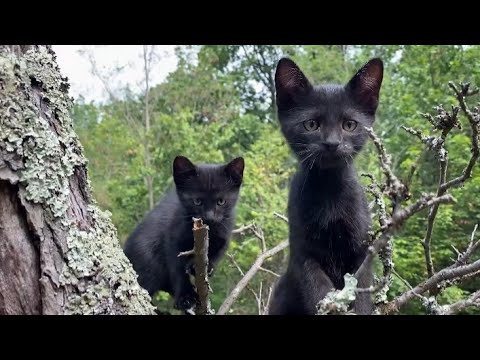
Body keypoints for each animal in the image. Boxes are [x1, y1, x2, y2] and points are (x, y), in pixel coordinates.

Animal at [124, 156, 244, 310]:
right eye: (197, 201)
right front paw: (186, 297)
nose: (209, 217)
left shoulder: (224, 237)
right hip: (148, 263)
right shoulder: (172, 241)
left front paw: (207, 267)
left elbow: (216, 253)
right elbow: (177, 270)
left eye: (221, 201)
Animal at [268, 57, 384, 316]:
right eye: (311, 125)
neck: (329, 188)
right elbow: (318, 291)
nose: (332, 143)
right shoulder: (304, 254)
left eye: (349, 125)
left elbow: (360, 290)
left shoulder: (361, 252)